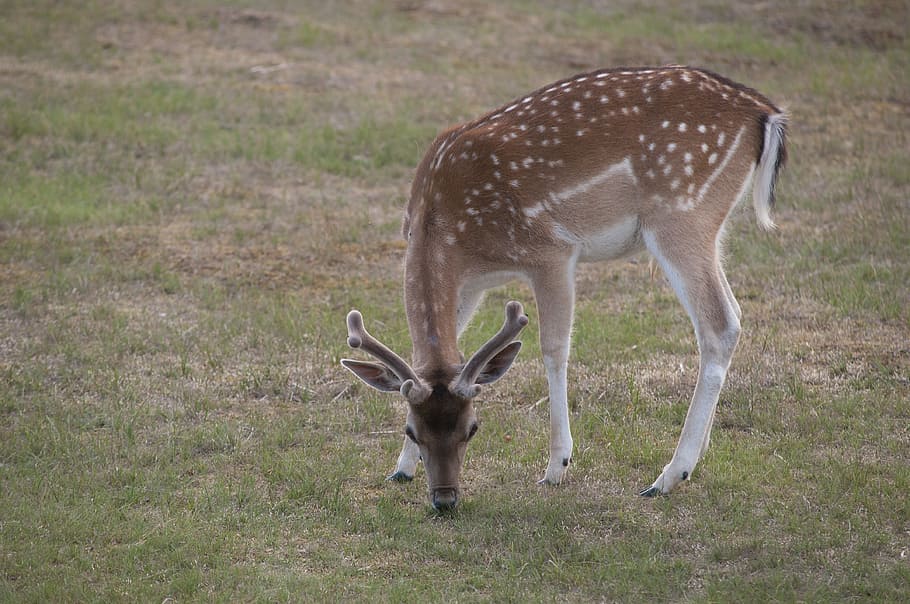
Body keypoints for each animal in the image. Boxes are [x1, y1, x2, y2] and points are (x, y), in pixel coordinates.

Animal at [341, 65, 788, 511]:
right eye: (412, 430)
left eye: (473, 427)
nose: (445, 499)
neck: (452, 235)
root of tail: (764, 112)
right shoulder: (472, 285)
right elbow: (434, 357)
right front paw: (402, 468)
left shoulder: (551, 252)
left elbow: (554, 349)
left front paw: (557, 466)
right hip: (709, 226)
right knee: (733, 314)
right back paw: (697, 454)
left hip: (681, 213)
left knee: (719, 324)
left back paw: (668, 476)